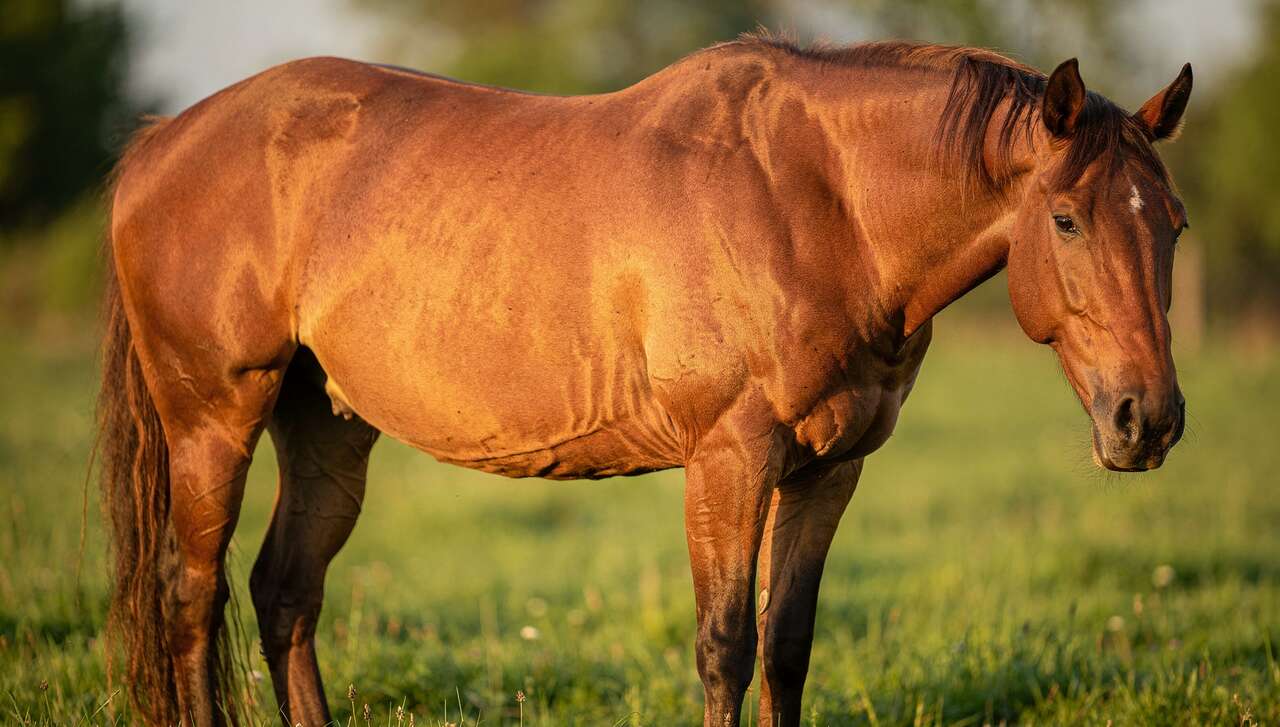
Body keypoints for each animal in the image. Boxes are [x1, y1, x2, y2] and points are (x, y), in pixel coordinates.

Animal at [97, 33, 1192, 727]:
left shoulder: (829, 468)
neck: (817, 202)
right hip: (212, 418)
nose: (1147, 420)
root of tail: (158, 142)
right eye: (1065, 219)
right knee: (191, 596)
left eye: (1172, 223)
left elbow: (787, 644)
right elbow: (725, 643)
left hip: (326, 426)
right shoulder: (729, 459)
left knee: (285, 592)